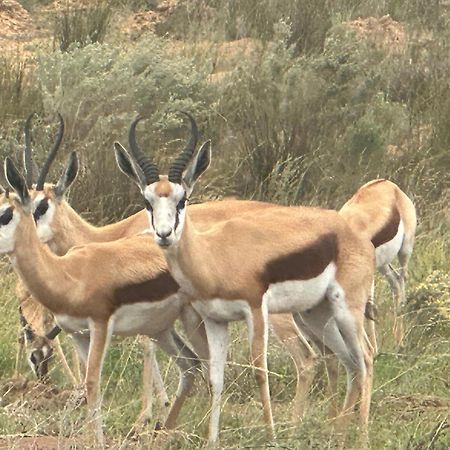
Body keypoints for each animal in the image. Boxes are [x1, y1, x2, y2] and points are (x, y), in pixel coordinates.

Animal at [114, 113, 374, 446]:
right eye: (147, 202)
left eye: (182, 200)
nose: (163, 235)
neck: (214, 256)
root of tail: (353, 232)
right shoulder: (216, 320)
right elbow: (215, 376)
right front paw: (212, 440)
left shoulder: (255, 310)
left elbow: (259, 370)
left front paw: (271, 435)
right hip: (316, 314)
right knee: (349, 362)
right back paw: (338, 436)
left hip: (346, 310)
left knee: (365, 358)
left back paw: (362, 437)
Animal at [340, 178, 416, 346]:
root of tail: (387, 183)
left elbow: (369, 309)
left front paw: (374, 349)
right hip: (383, 265)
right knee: (395, 283)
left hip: (405, 251)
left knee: (402, 279)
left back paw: (401, 341)